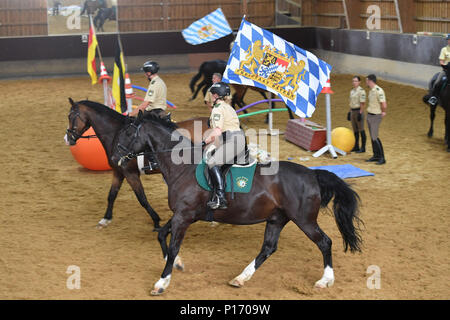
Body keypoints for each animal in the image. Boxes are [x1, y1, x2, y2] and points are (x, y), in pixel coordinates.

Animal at [64, 99, 210, 229]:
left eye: (71, 116)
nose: (67, 139)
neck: (116, 134)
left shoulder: (130, 173)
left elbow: (142, 199)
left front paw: (156, 221)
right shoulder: (118, 172)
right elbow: (112, 195)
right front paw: (105, 219)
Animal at [111, 111, 362, 296]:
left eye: (127, 132)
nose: (113, 158)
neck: (183, 167)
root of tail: (312, 174)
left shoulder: (184, 216)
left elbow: (173, 246)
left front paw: (162, 282)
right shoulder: (182, 214)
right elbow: (162, 235)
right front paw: (177, 264)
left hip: (304, 220)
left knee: (325, 242)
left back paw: (325, 280)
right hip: (277, 219)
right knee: (268, 248)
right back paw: (241, 278)